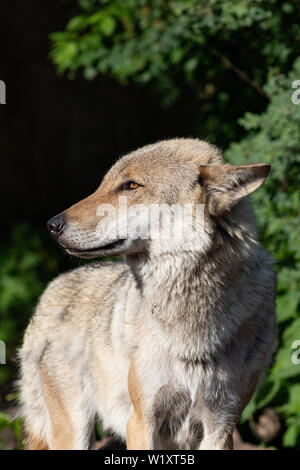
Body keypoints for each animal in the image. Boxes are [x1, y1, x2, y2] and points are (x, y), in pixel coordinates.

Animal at [19, 139, 276, 448]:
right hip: (74, 431)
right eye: (103, 185)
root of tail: (50, 290)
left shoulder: (221, 427)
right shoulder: (141, 421)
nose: (52, 225)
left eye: (131, 186)